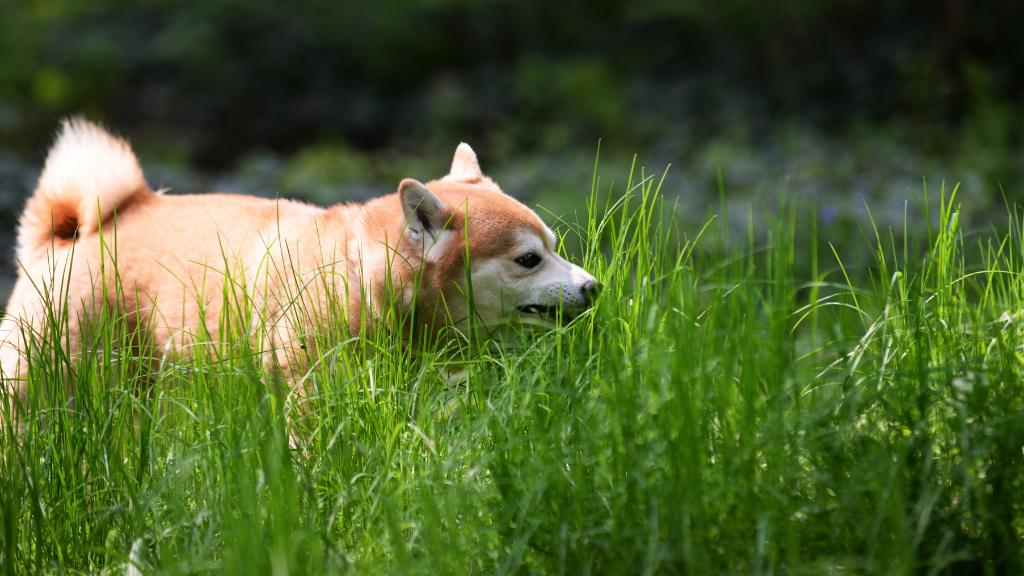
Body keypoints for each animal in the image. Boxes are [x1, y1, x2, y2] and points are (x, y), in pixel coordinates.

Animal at [0, 117, 598, 389]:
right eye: (528, 259)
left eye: (554, 247)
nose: (593, 286)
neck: (357, 277)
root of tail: (72, 237)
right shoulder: (303, 385)